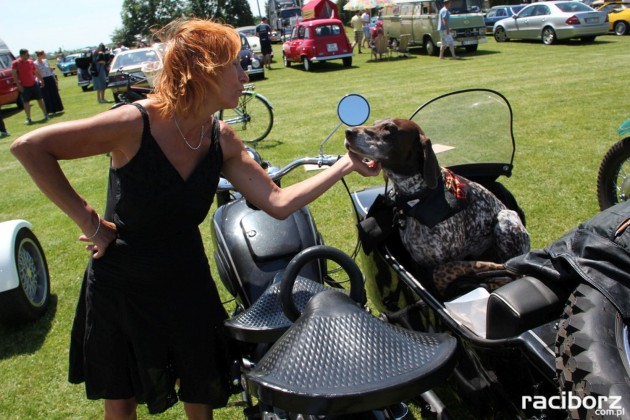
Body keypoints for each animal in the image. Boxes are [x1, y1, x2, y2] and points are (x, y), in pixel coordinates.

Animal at [348, 118, 532, 288]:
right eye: (375, 123)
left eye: (389, 129)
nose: (349, 131)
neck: (417, 200)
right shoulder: (418, 262)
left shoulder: (444, 261)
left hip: (505, 217)